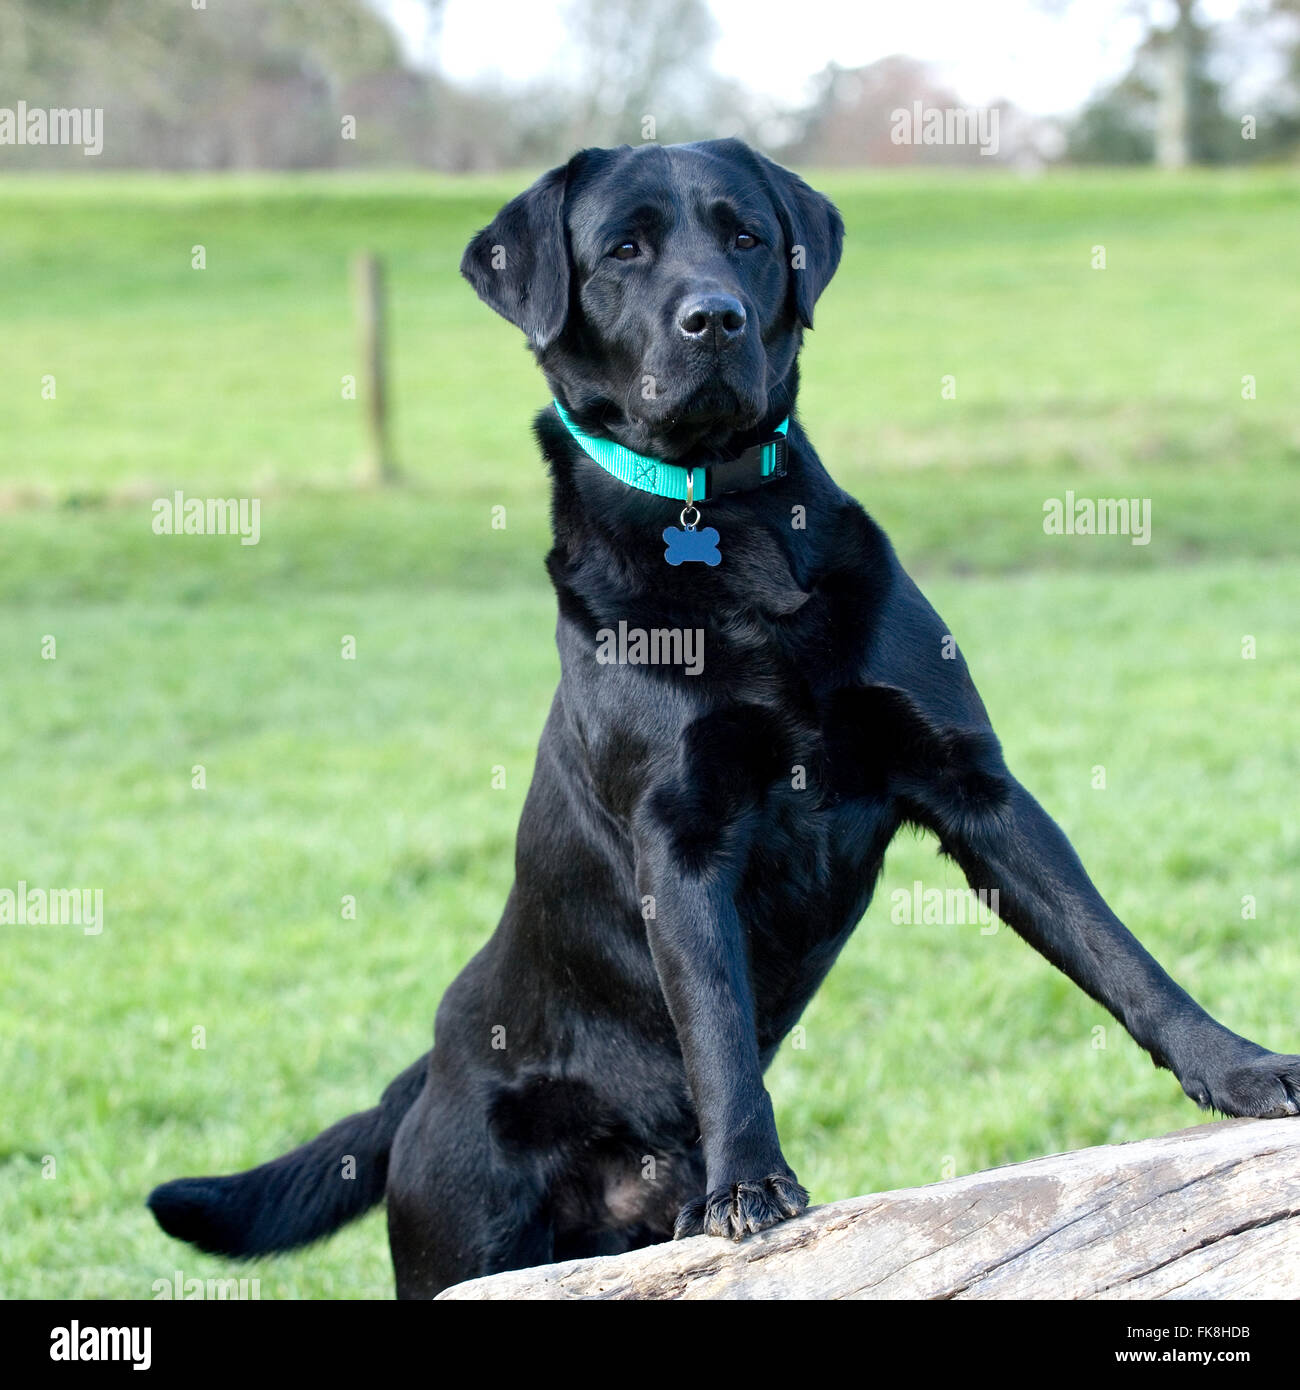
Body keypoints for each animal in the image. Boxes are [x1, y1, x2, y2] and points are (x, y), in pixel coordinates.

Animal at [150, 138, 1300, 1289]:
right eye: (622, 250)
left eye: (745, 236)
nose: (715, 319)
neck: (723, 517)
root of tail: (421, 1074)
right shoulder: (682, 833)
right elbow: (715, 1026)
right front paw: (747, 1182)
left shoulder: (971, 780)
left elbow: (1116, 949)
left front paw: (1238, 1067)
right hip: (462, 1237)